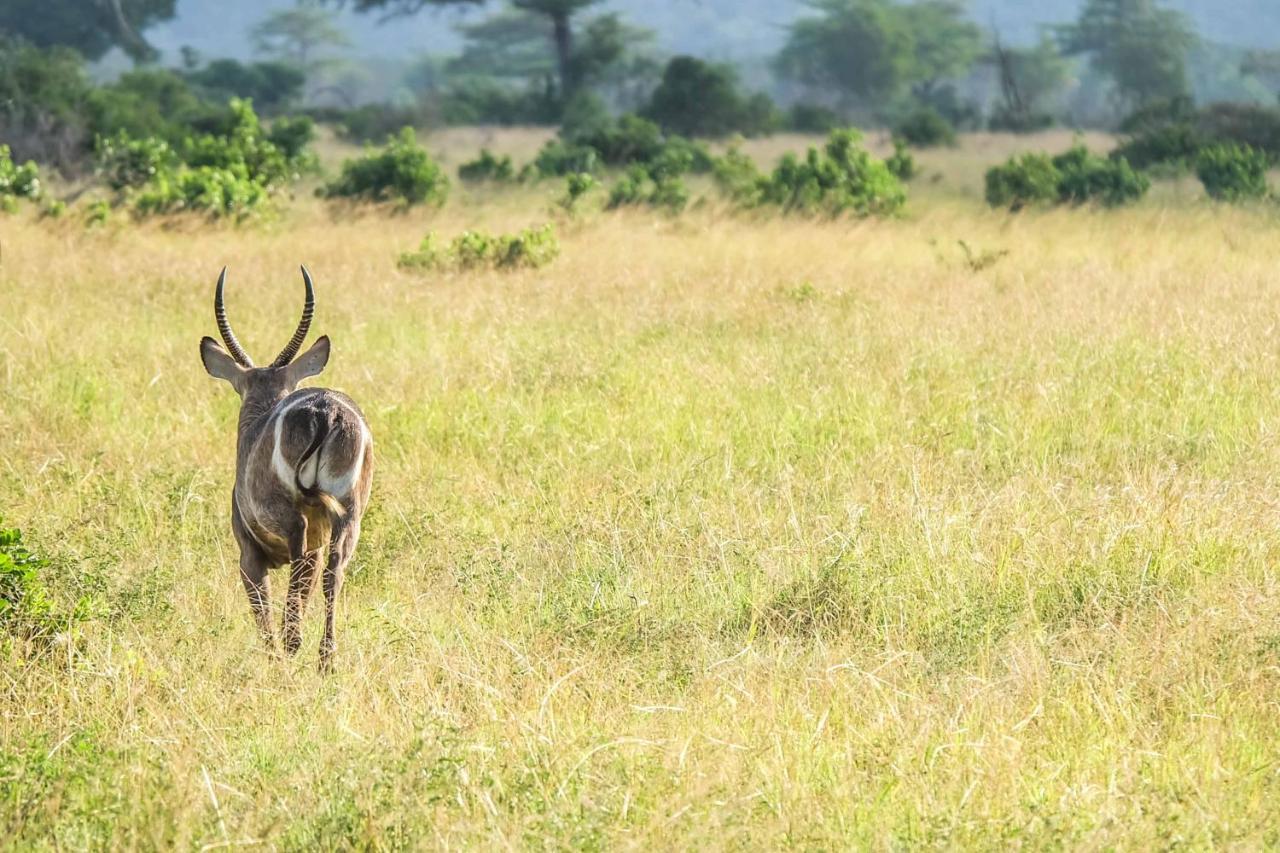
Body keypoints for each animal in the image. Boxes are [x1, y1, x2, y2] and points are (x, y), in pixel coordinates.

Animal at [197, 266, 373, 671]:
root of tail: (326, 411)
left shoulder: (249, 555)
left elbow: (260, 605)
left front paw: (273, 654)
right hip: (349, 515)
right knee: (332, 572)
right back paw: (326, 659)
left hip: (293, 519)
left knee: (302, 565)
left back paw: (291, 646)